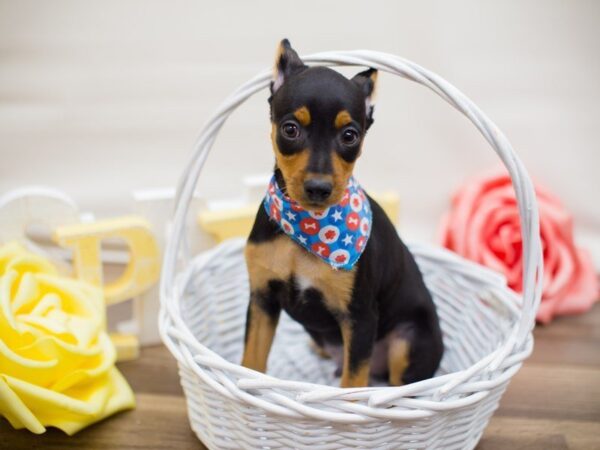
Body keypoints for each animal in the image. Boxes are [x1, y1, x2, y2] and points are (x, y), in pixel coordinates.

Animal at [241, 39, 442, 386]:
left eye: (350, 135)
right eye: (290, 129)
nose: (318, 188)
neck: (306, 233)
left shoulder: (359, 319)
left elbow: (352, 383)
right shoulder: (262, 299)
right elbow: (250, 362)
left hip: (407, 342)